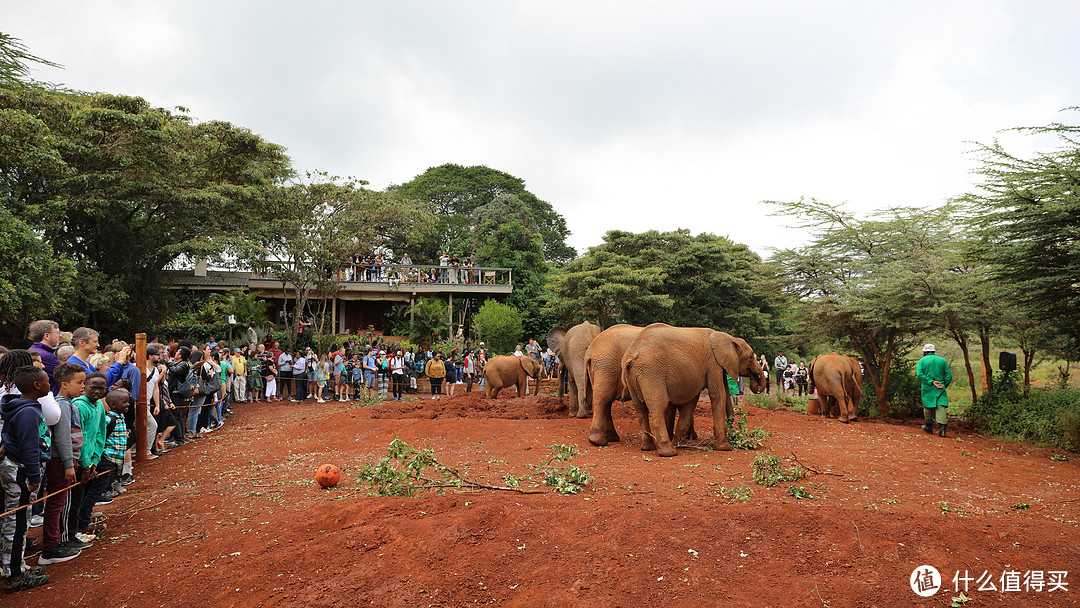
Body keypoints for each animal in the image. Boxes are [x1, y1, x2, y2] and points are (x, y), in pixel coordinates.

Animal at [622, 323, 764, 457]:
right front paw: (725, 448)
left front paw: (679, 443)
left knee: (640, 408)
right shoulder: (713, 363)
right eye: (751, 357)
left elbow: (691, 401)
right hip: (652, 372)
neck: (726, 337)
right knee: (658, 406)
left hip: (634, 375)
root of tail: (633, 353)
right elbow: (718, 395)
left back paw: (648, 448)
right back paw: (669, 452)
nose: (733, 433)